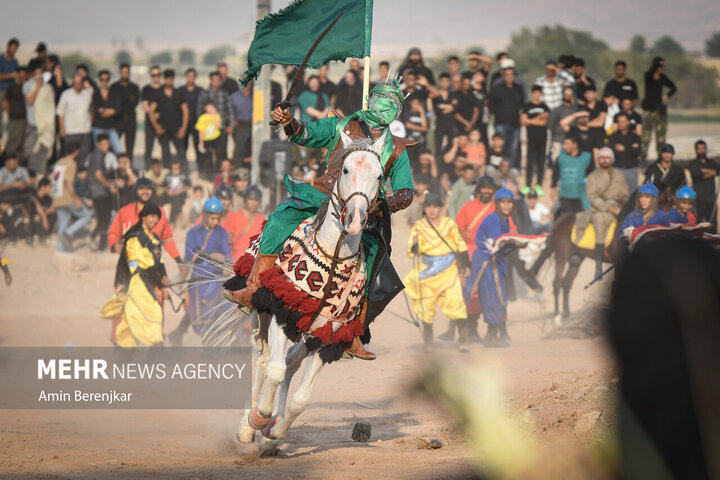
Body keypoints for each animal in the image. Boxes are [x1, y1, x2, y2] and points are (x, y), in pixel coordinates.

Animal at [236, 131, 386, 454]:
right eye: (345, 170)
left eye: (379, 176)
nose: (355, 219)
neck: (333, 258)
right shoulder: (283, 313)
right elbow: (275, 371)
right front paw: (259, 420)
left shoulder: (326, 335)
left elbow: (301, 400)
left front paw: (274, 430)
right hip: (260, 312)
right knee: (264, 360)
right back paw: (245, 427)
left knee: (290, 363)